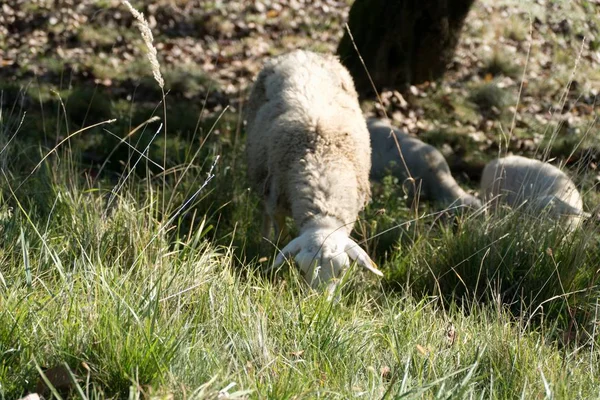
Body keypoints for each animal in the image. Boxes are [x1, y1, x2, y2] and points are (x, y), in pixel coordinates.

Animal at [245, 50, 382, 294]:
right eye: (301, 269)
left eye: (343, 271)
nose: (319, 301)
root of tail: (301, 53)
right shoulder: (277, 203)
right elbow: (280, 237)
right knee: (264, 214)